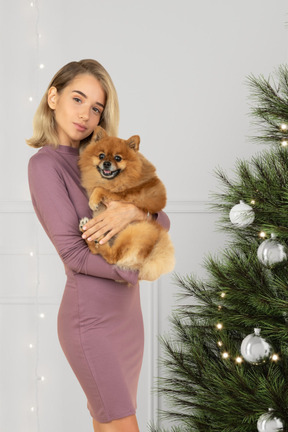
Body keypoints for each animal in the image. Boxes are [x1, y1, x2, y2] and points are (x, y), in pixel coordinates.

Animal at [77, 125, 174, 280]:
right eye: (101, 156)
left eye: (118, 158)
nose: (106, 163)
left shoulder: (125, 195)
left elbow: (101, 188)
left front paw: (93, 200)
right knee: (96, 251)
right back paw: (87, 232)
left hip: (137, 230)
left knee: (112, 257)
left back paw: (96, 239)